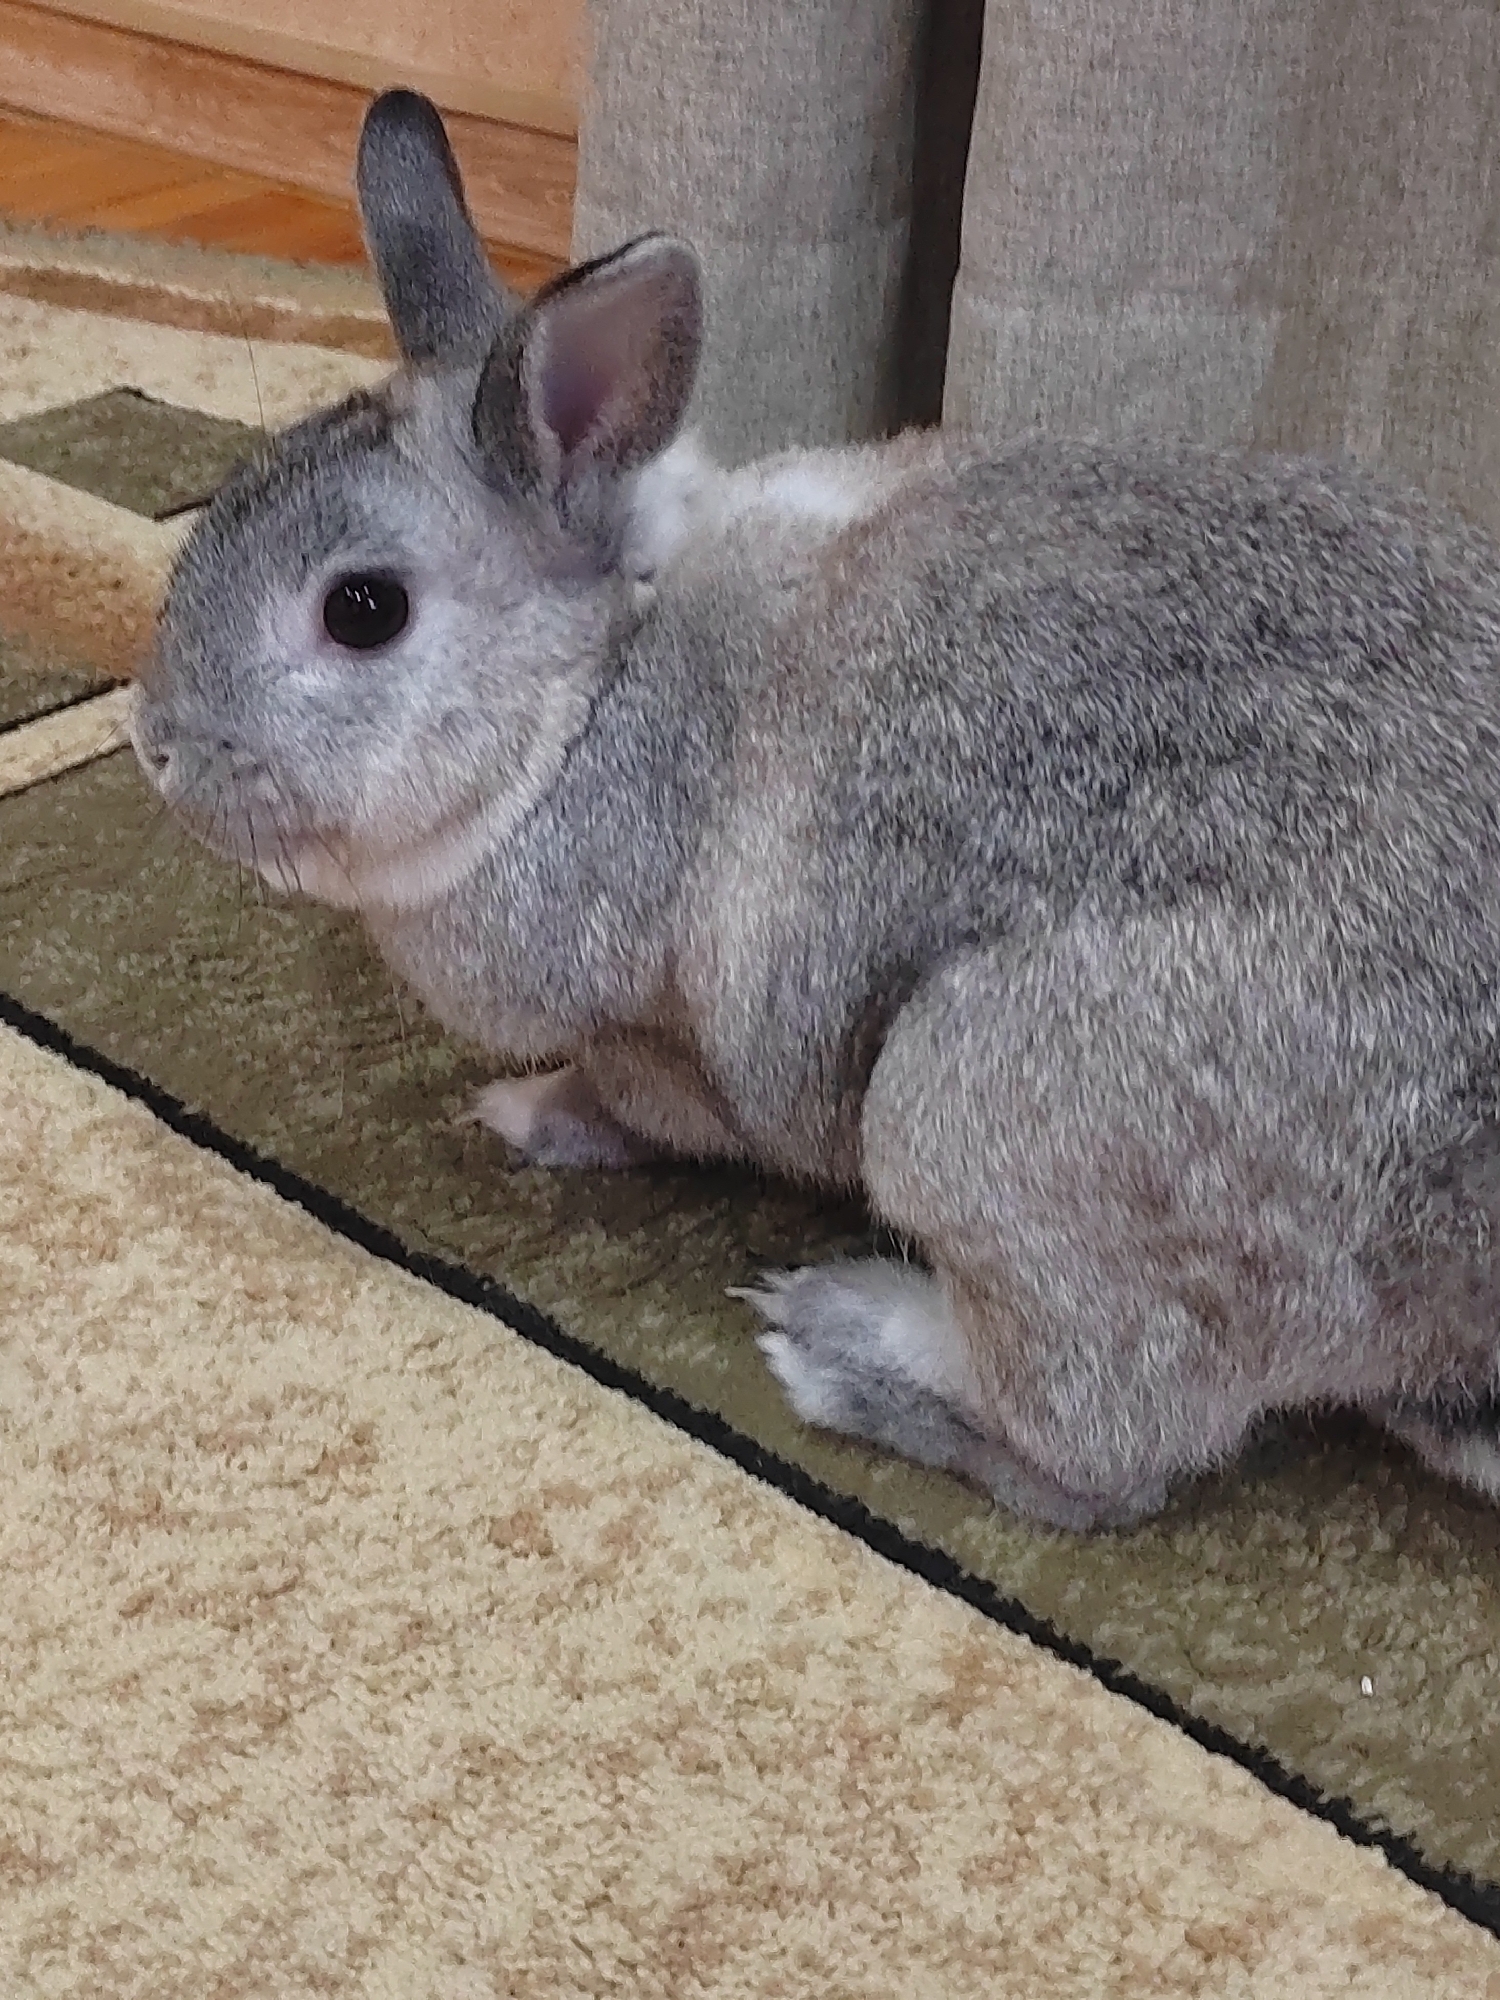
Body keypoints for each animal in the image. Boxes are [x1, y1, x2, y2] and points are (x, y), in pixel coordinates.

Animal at [131, 87, 1500, 1532]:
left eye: (363, 609)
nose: (154, 742)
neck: (595, 688)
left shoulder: (663, 1036)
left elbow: (638, 1099)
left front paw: (532, 1116)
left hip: (984, 1112)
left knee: (1106, 1460)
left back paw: (839, 1344)